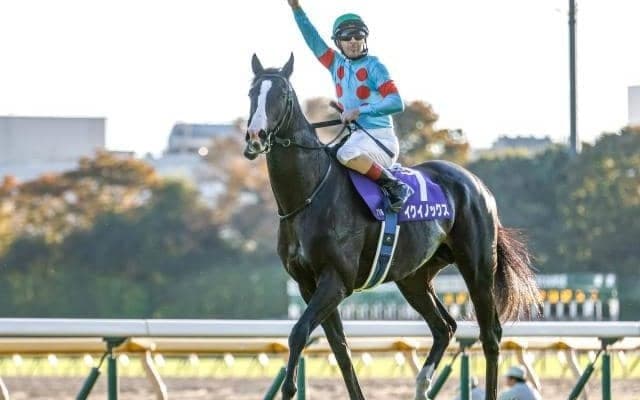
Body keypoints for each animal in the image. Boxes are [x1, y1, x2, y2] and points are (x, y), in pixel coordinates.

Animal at [243, 53, 539, 400]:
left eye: (281, 94)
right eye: (252, 93)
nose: (255, 136)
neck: (308, 195)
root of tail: (478, 185)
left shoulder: (336, 279)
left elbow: (299, 332)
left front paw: (289, 388)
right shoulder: (308, 284)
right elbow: (340, 350)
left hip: (477, 267)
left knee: (490, 334)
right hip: (413, 277)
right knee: (444, 327)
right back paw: (422, 385)